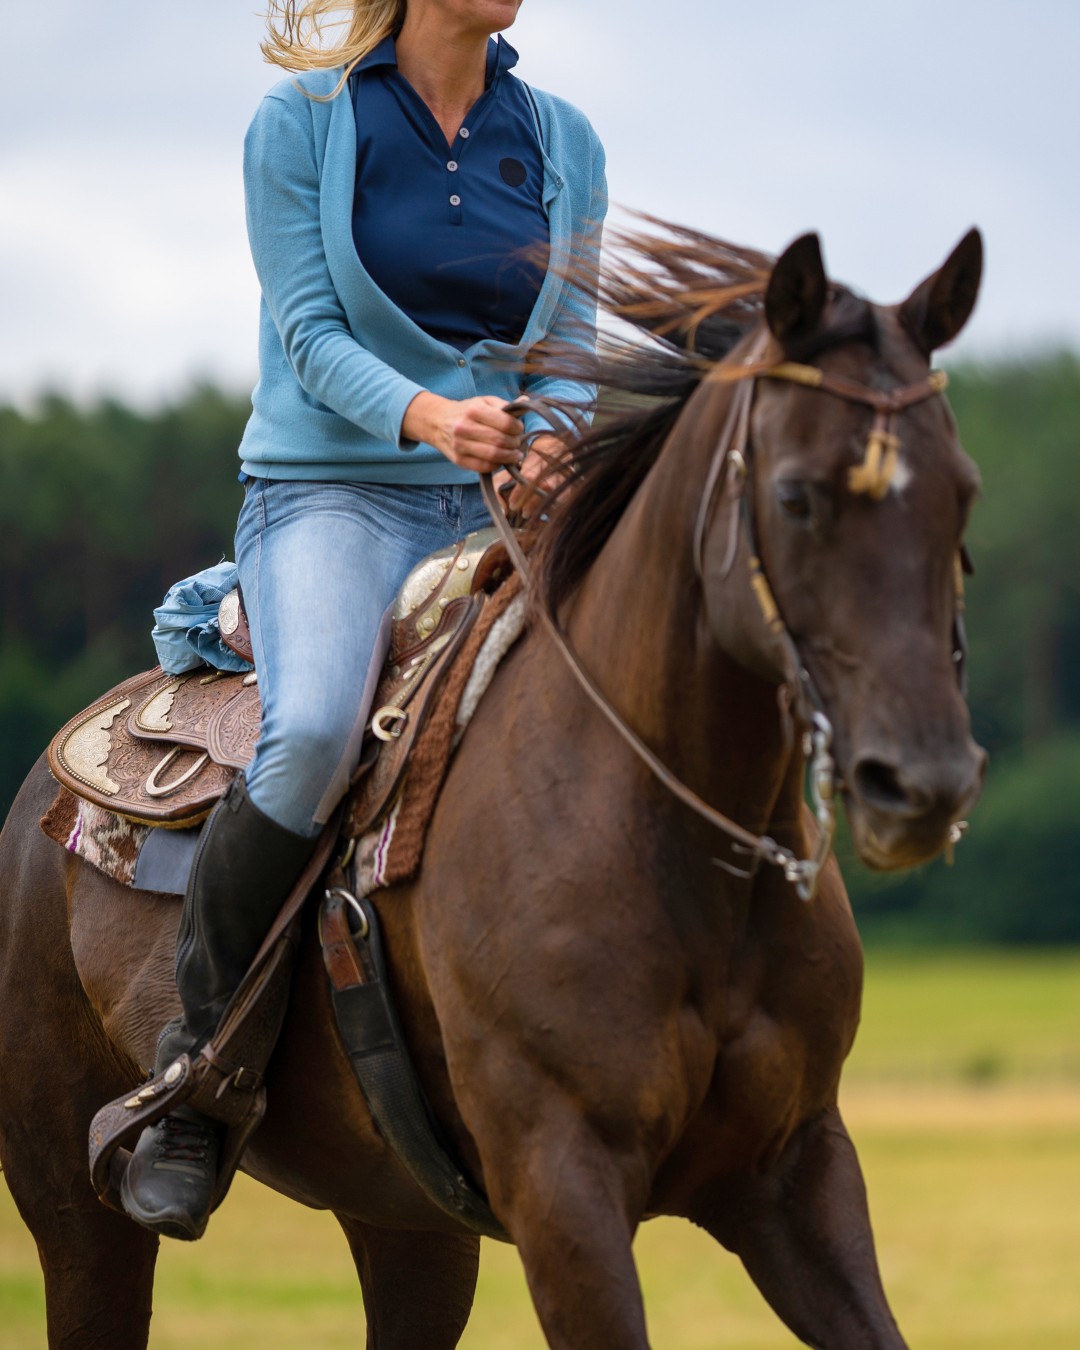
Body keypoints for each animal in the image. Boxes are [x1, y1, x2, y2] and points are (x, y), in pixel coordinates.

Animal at [0, 223, 986, 1349]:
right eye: (797, 496)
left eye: (964, 490)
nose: (924, 783)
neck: (676, 847)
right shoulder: (563, 1188)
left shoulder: (796, 1178)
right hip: (77, 1213)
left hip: (405, 1223)